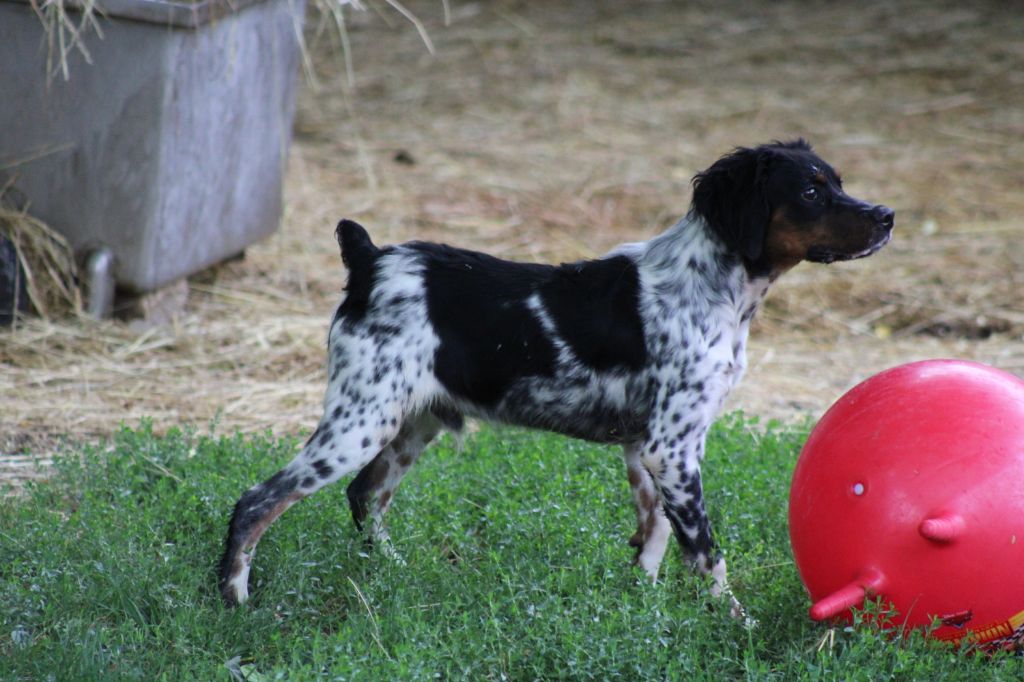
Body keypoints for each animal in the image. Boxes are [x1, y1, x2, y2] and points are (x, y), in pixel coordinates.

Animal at [220, 139, 892, 610]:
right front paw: (735, 624)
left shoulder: (646, 448)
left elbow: (652, 535)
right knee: (256, 503)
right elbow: (706, 553)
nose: (886, 215)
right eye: (811, 192)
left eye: (837, 182)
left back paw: (395, 574)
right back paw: (234, 598)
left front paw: (644, 607)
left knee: (365, 495)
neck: (715, 288)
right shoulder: (673, 448)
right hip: (358, 421)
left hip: (410, 421)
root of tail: (370, 259)